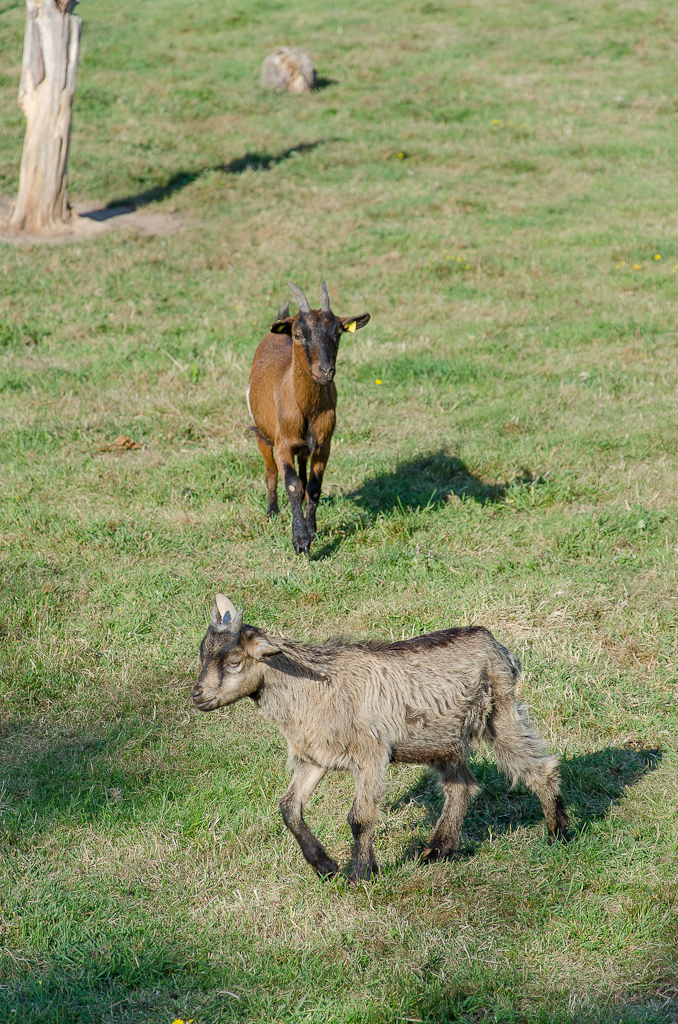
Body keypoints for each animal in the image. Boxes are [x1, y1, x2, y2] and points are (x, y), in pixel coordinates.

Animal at [192, 595, 570, 882]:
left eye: (235, 661)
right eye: (202, 654)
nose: (197, 695)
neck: (313, 688)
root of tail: (495, 643)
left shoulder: (370, 754)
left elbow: (359, 817)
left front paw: (360, 874)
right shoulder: (315, 756)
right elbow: (289, 807)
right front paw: (326, 867)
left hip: (499, 712)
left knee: (538, 768)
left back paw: (558, 834)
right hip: (441, 740)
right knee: (461, 785)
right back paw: (437, 850)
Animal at [247, 282, 370, 554]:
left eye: (338, 333)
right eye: (298, 334)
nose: (325, 370)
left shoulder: (324, 445)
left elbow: (313, 486)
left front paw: (312, 530)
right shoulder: (282, 444)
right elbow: (292, 484)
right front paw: (300, 540)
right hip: (262, 434)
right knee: (270, 470)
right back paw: (272, 511)